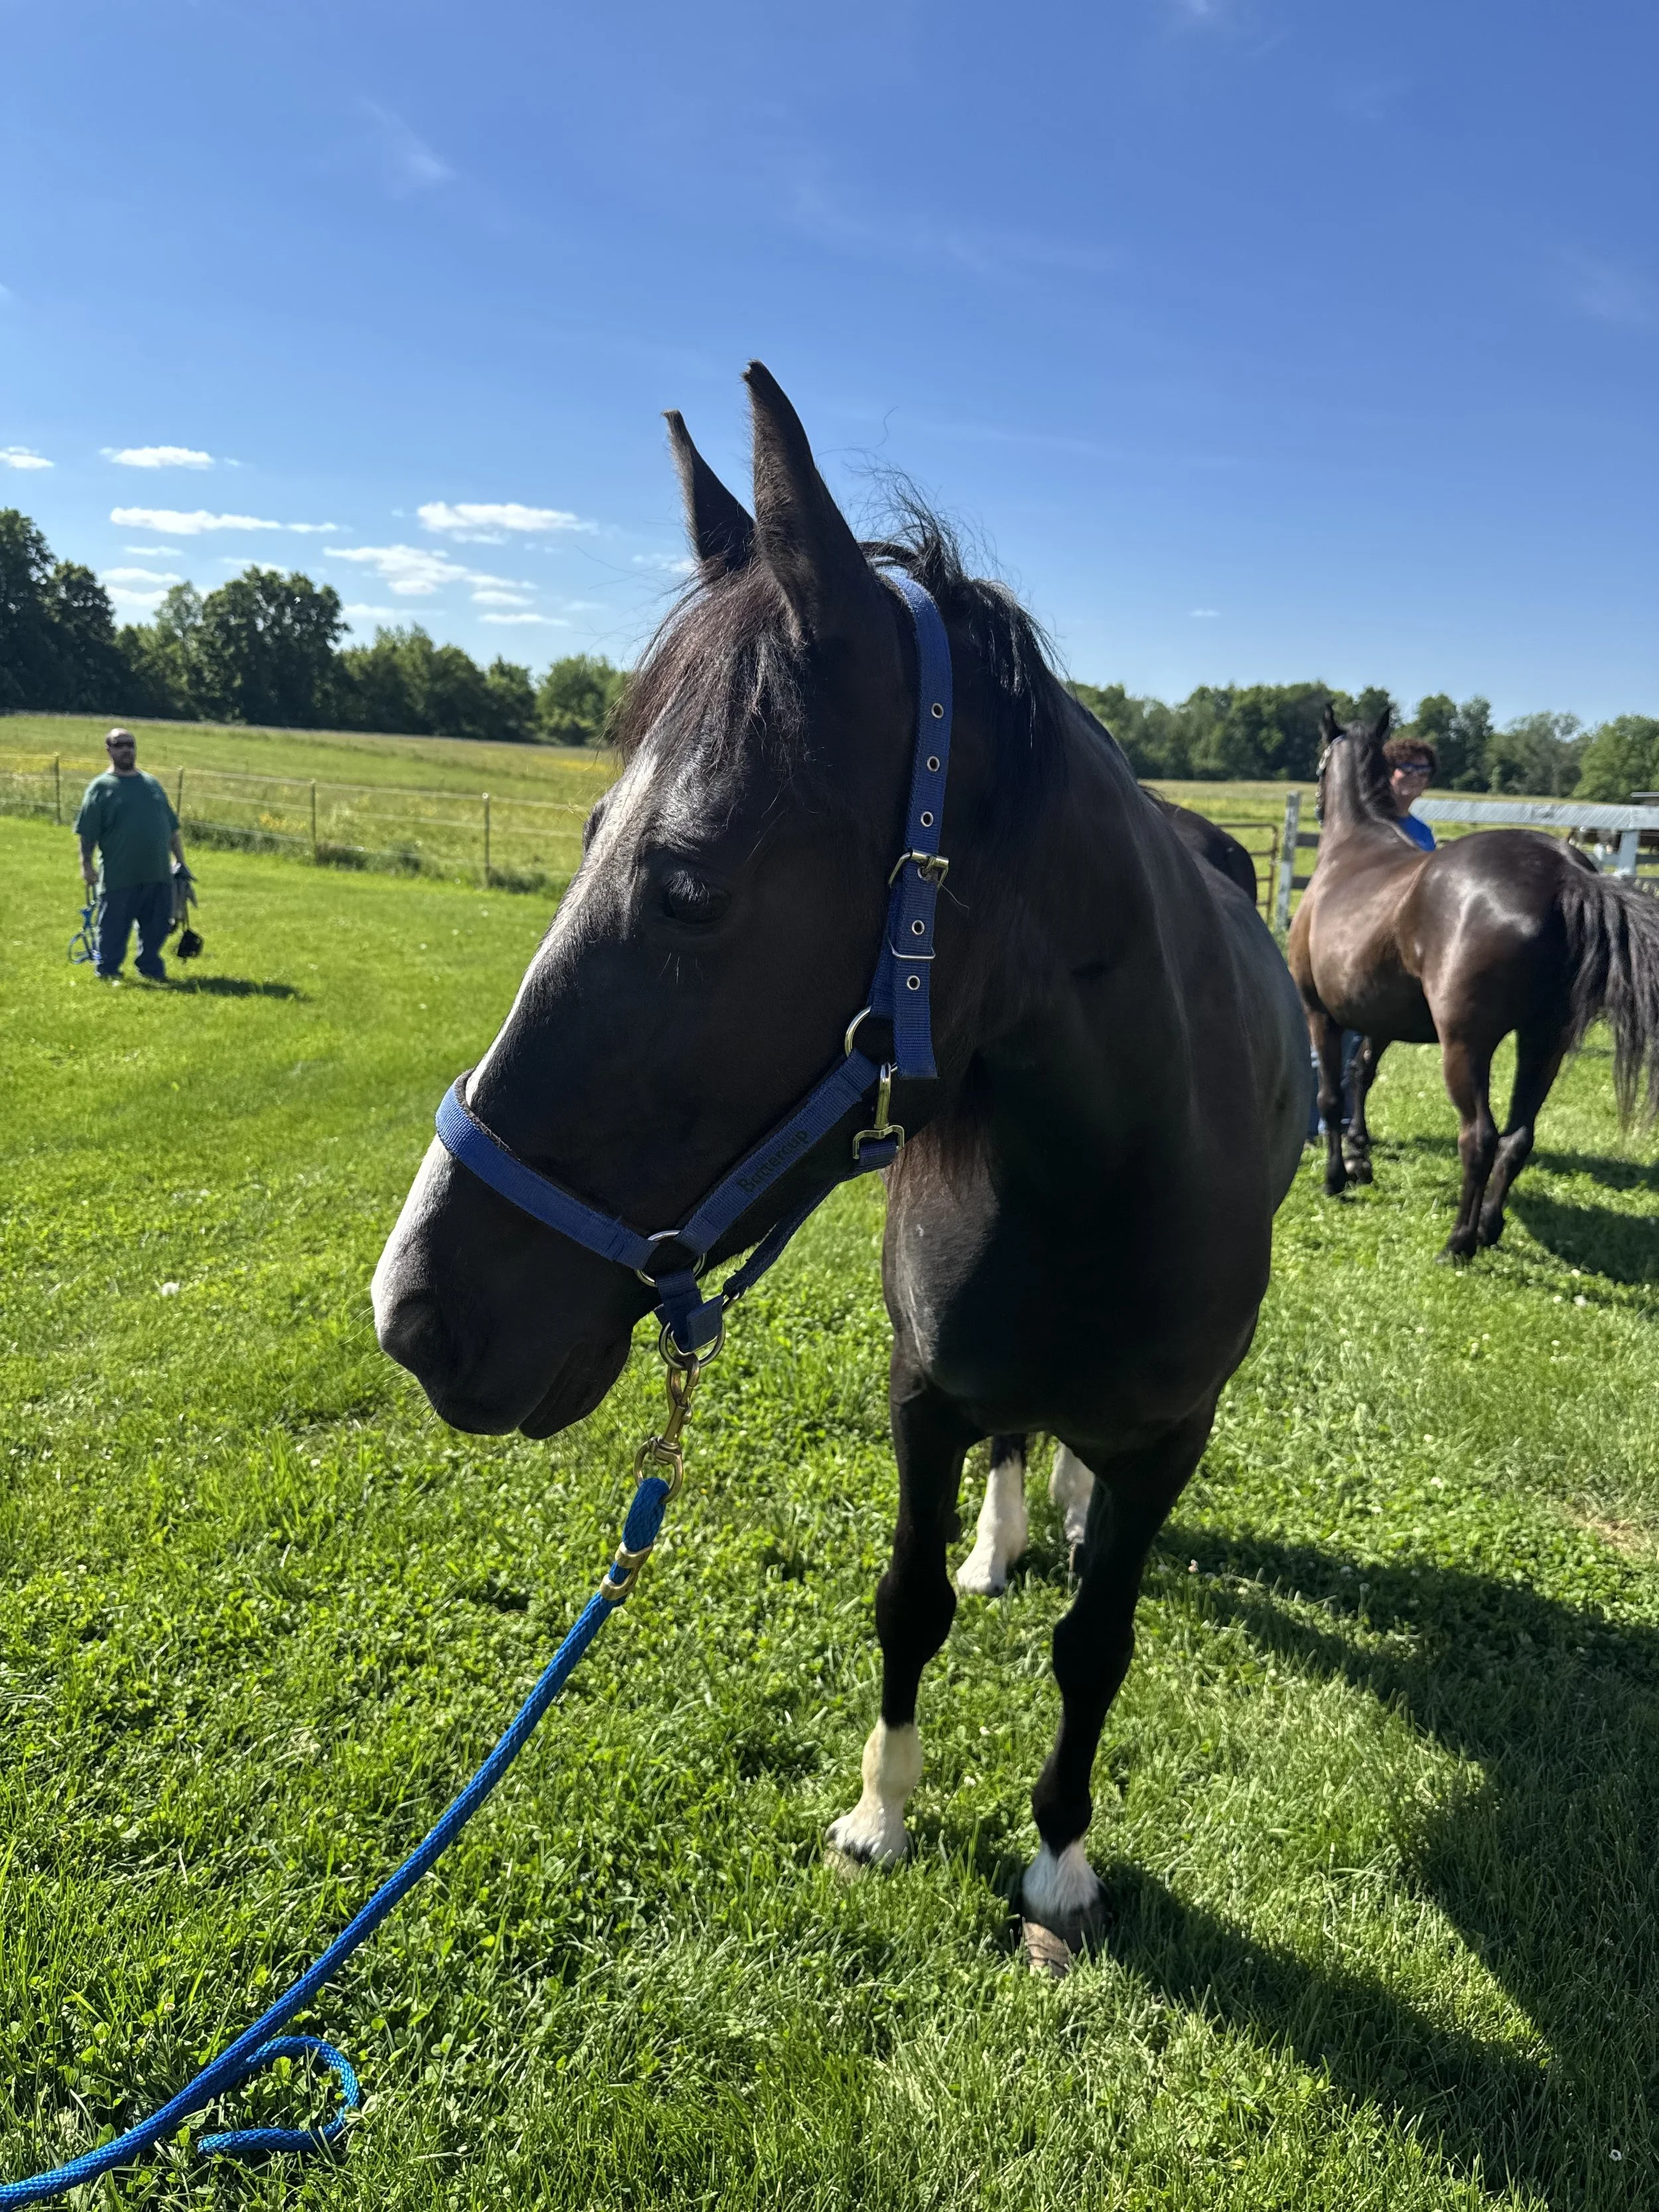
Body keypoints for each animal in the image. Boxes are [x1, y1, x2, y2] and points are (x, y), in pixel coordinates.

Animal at [372, 363, 1308, 1957]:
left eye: (690, 887)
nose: (412, 1312)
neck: (1103, 1174)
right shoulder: (920, 1385)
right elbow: (908, 1598)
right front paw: (880, 1814)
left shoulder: (1174, 1432)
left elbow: (1097, 1643)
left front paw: (1059, 1862)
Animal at [1288, 707, 1659, 1262]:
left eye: (1318, 765)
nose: (1313, 803)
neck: (1353, 848)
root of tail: (1566, 873)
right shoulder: (1380, 1019)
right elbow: (1362, 1075)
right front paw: (1359, 1158)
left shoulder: (1320, 1013)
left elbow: (1332, 1096)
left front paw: (1335, 1177)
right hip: (1544, 1042)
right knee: (1517, 1138)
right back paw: (1487, 1226)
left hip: (1466, 1046)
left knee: (1479, 1137)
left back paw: (1458, 1241)